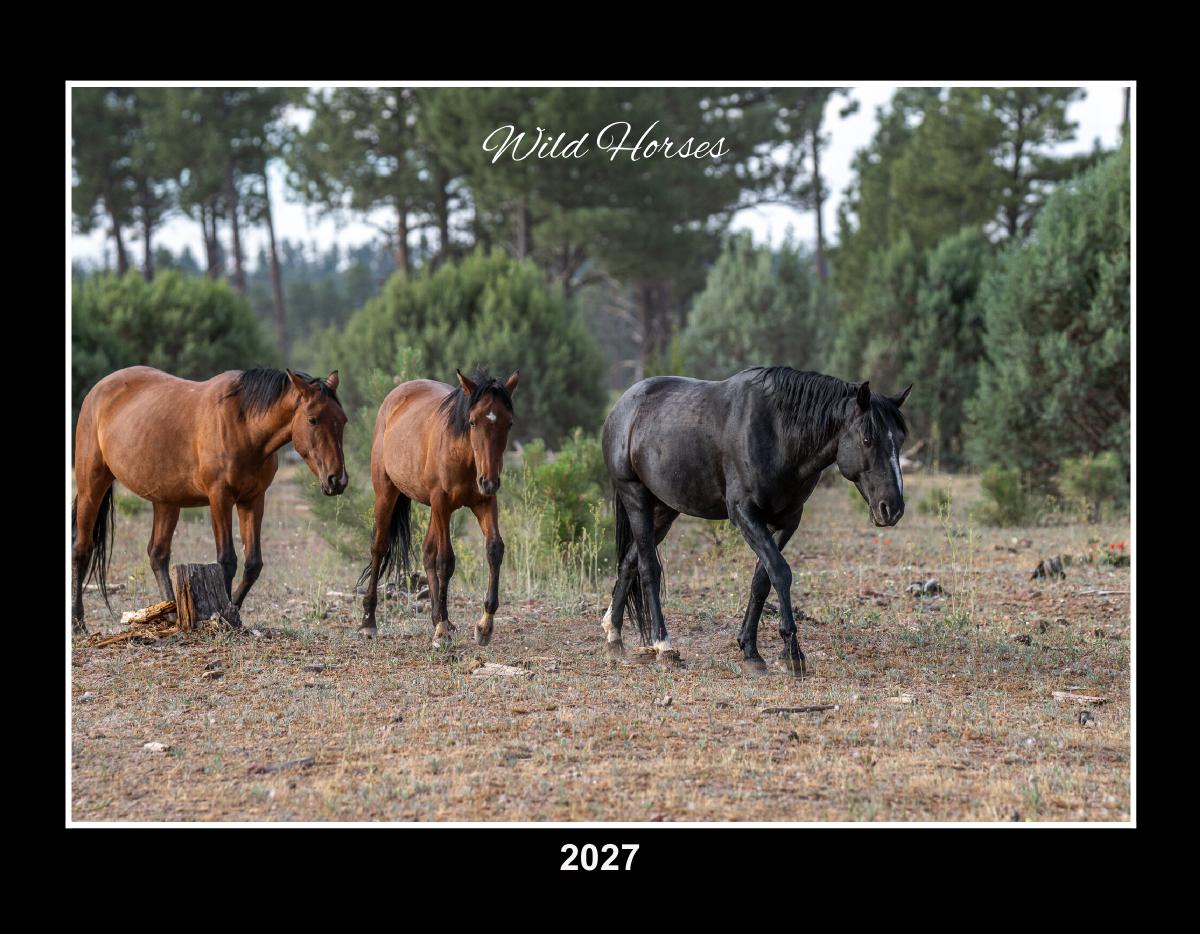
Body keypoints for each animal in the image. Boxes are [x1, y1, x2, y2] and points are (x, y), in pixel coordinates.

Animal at [72, 366, 348, 632]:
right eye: (313, 419)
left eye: (342, 420)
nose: (338, 480)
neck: (244, 425)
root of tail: (98, 390)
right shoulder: (220, 498)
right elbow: (227, 560)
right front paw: (224, 615)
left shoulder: (253, 500)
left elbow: (253, 564)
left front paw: (234, 612)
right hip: (91, 487)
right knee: (82, 549)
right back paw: (78, 622)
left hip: (166, 501)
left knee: (158, 554)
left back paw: (171, 614)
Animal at [359, 368, 520, 647]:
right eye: (473, 421)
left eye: (508, 422)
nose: (489, 481)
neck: (465, 456)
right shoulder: (441, 502)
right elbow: (446, 561)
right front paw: (442, 630)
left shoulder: (484, 503)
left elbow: (494, 550)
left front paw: (484, 626)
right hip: (388, 493)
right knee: (379, 548)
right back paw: (369, 622)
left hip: (435, 510)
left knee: (427, 552)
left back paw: (438, 617)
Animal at [600, 366, 911, 675]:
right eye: (867, 439)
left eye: (900, 439)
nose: (892, 508)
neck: (778, 433)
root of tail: (623, 406)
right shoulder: (745, 514)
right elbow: (780, 572)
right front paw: (792, 653)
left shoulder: (787, 520)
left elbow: (762, 578)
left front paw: (750, 650)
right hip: (636, 498)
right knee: (648, 568)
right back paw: (664, 646)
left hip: (664, 510)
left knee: (629, 562)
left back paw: (614, 636)